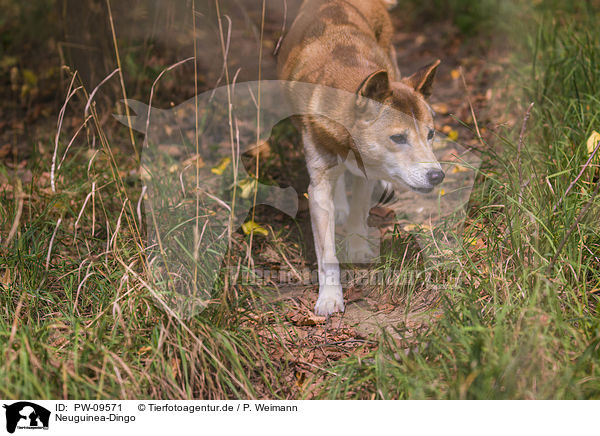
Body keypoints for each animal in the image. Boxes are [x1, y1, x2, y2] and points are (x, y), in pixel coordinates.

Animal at [278, 0, 442, 316]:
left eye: (431, 134)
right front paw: (330, 298)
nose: (437, 175)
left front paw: (356, 247)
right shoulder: (318, 185)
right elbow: (327, 254)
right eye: (398, 138)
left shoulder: (370, 168)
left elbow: (359, 211)